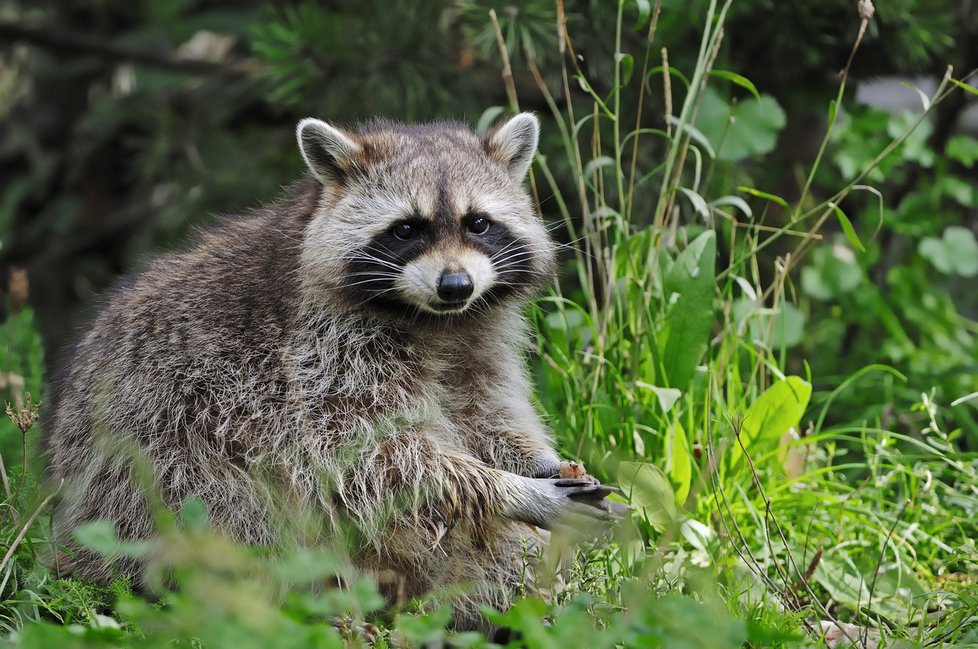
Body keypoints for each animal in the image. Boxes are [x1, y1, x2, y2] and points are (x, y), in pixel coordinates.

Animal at [43, 112, 616, 628]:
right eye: (407, 230)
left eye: (478, 223)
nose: (455, 286)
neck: (432, 321)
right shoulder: (317, 354)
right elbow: (377, 456)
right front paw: (510, 490)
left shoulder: (479, 335)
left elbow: (485, 416)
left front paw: (538, 463)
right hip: (158, 467)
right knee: (240, 511)